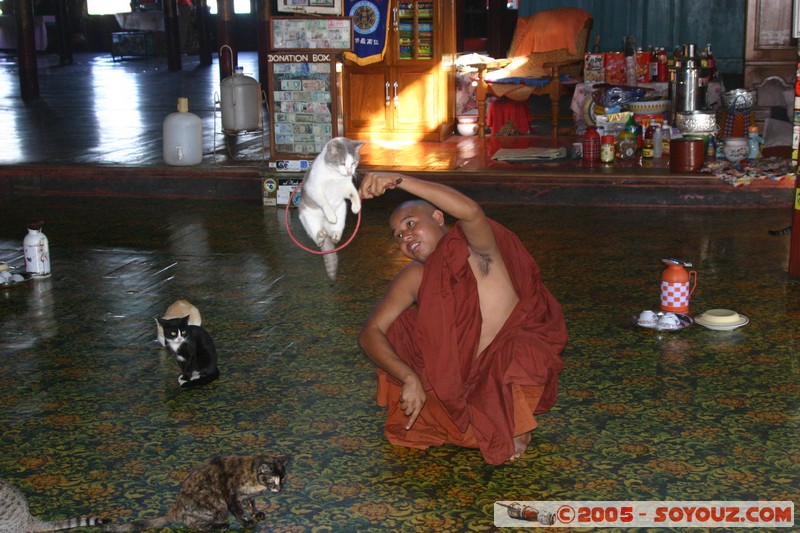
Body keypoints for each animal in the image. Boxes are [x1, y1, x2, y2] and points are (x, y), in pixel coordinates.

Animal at [104, 454, 290, 532]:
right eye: (272, 480)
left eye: (283, 478)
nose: (279, 489)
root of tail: (176, 508)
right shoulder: (231, 498)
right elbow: (239, 512)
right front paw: (247, 523)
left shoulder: (249, 497)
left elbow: (251, 505)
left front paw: (256, 513)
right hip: (217, 503)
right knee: (193, 525)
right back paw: (220, 526)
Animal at [296, 135, 366, 280]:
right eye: (342, 162)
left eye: (354, 163)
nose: (350, 171)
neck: (335, 176)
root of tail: (325, 227)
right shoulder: (315, 189)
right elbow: (325, 203)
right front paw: (331, 216)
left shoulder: (347, 186)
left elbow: (354, 194)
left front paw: (356, 208)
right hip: (307, 217)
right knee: (316, 237)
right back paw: (321, 235)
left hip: (342, 211)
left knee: (335, 231)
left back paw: (334, 235)